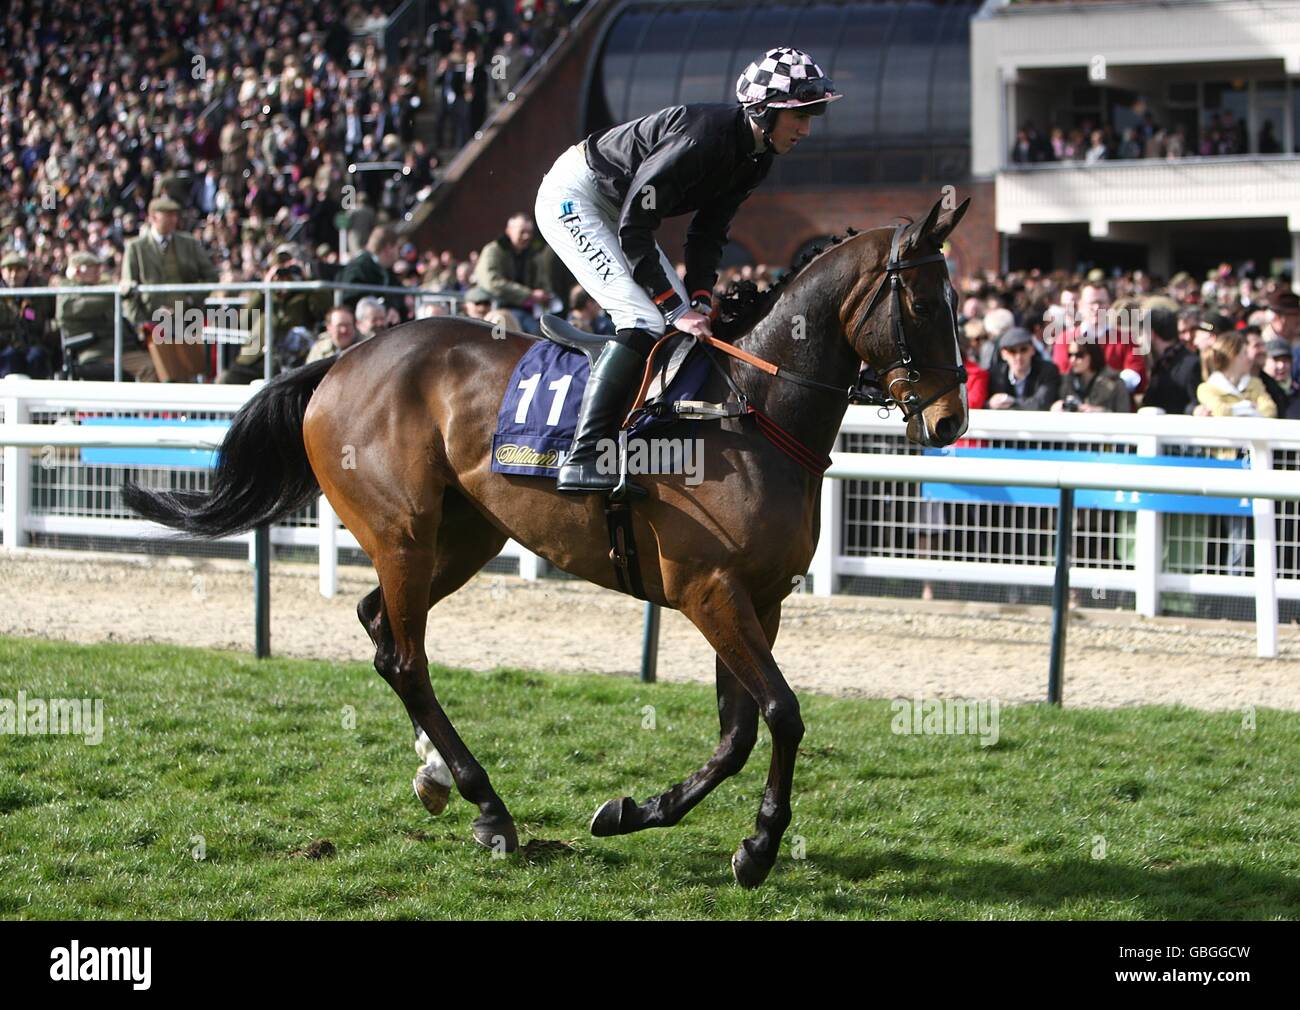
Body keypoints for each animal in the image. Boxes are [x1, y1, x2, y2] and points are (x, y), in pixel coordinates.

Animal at [124, 196, 971, 888]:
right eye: (924, 302)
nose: (951, 419)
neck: (747, 411)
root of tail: (342, 360)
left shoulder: (758, 599)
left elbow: (737, 732)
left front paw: (636, 811)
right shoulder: (709, 591)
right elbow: (784, 714)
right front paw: (759, 847)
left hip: (463, 536)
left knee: (380, 628)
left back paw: (437, 776)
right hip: (403, 533)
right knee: (405, 657)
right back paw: (487, 804)